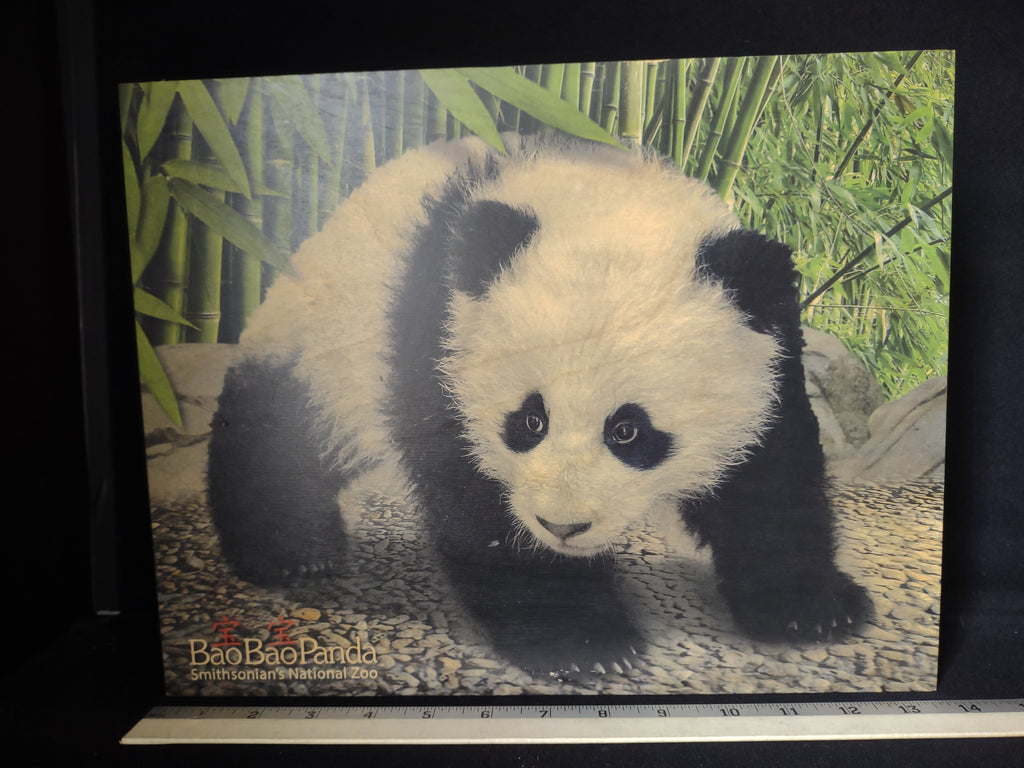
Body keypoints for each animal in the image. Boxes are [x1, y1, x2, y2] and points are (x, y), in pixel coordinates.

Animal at [208, 133, 873, 678]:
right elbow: (476, 500)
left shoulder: (766, 353)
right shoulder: (438, 340)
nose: (563, 527)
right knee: (280, 430)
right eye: (529, 421)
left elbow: (767, 478)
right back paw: (293, 555)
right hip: (326, 342)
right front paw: (582, 644)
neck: (605, 201)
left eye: (629, 431)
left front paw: (813, 610)